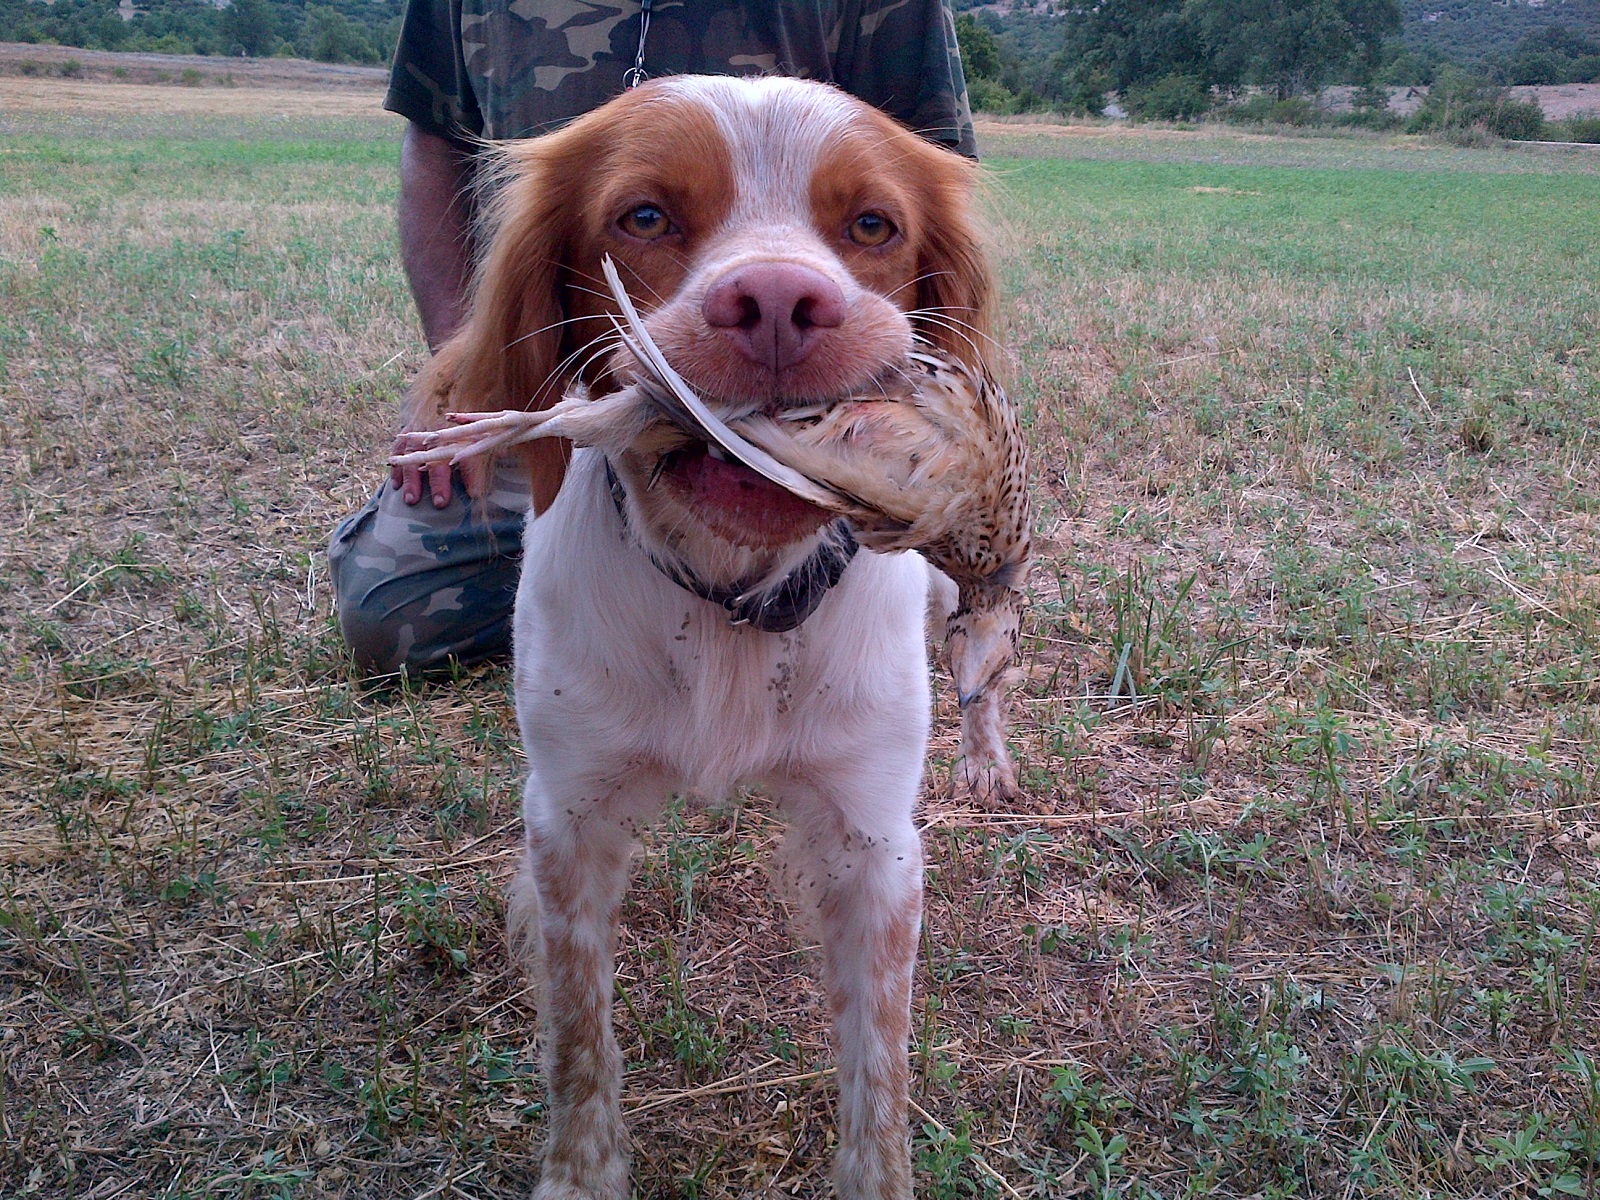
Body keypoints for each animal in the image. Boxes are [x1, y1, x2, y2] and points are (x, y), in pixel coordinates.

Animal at [398, 75, 992, 1200]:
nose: (778, 303)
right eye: (643, 217)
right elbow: (578, 1041)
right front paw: (579, 1176)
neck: (731, 603)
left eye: (872, 225)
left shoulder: (874, 841)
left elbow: (878, 1077)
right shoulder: (569, 817)